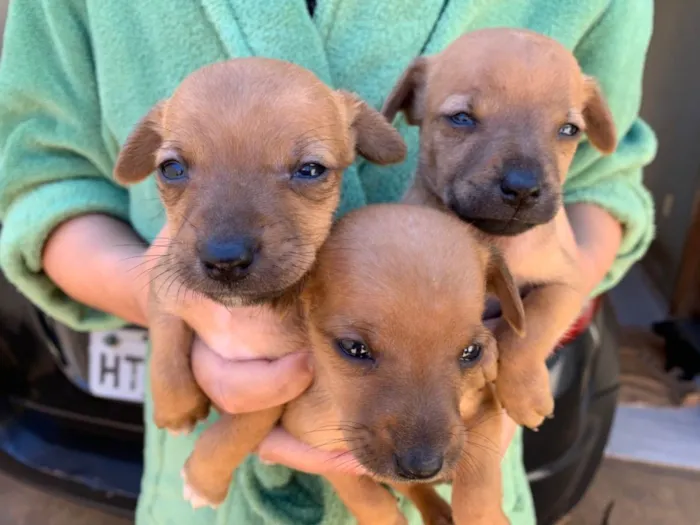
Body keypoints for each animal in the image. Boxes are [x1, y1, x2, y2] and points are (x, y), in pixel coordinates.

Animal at [113, 59, 408, 506]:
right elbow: (165, 342)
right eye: (171, 168)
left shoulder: (281, 385)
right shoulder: (168, 286)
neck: (237, 313)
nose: (225, 259)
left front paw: (203, 481)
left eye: (310, 170)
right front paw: (176, 407)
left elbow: (238, 429)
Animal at [278, 204, 524, 524]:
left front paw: (485, 515)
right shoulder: (319, 449)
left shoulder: (483, 407)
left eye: (471, 352)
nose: (423, 467)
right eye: (354, 348)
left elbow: (478, 482)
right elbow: (368, 499)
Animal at [382, 29, 616, 430]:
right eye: (461, 118)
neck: (497, 239)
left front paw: (525, 392)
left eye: (569, 130)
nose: (523, 187)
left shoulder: (568, 283)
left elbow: (531, 328)